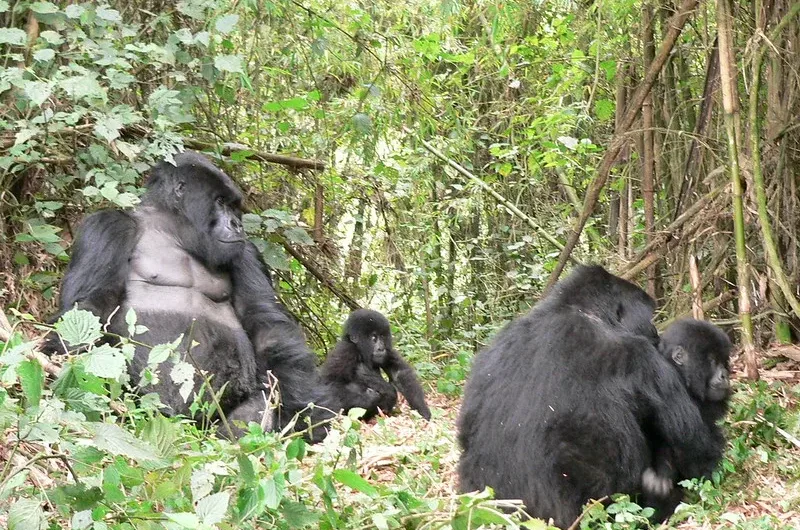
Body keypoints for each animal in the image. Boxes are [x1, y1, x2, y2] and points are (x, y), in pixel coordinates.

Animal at [42, 151, 336, 440]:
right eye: (220, 202)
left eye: (234, 207)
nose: (237, 224)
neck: (171, 231)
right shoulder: (108, 226)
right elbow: (88, 307)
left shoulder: (246, 252)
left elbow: (266, 321)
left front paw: (302, 409)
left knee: (258, 406)